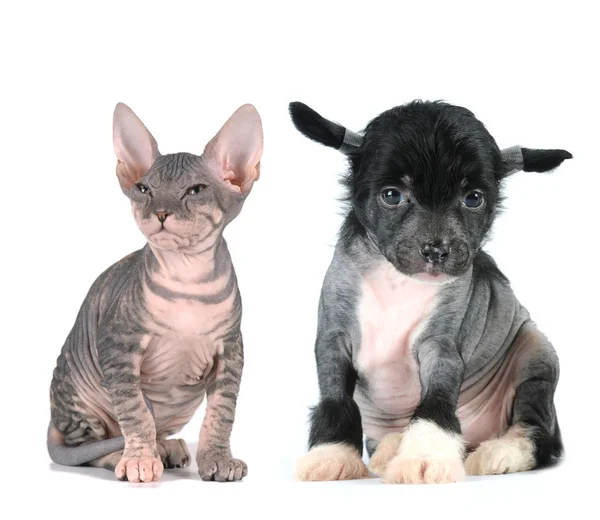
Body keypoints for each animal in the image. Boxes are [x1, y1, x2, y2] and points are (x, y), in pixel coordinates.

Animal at [290, 100, 572, 484]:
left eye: (473, 199)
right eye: (392, 195)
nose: (437, 251)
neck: (398, 281)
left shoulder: (442, 349)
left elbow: (435, 404)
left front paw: (424, 457)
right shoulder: (334, 342)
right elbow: (335, 400)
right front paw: (331, 454)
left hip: (537, 357)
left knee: (537, 431)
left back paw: (501, 452)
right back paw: (391, 449)